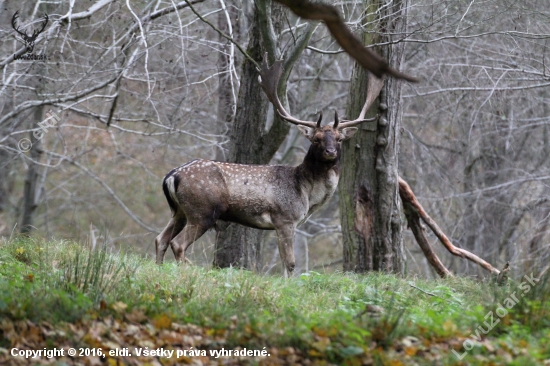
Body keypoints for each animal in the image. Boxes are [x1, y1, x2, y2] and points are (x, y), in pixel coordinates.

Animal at [155, 54, 386, 274]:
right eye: (316, 139)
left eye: (339, 139)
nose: (330, 152)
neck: (306, 194)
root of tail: (172, 176)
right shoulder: (285, 218)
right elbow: (290, 263)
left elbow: (285, 262)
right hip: (203, 211)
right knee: (177, 243)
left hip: (179, 211)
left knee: (161, 239)